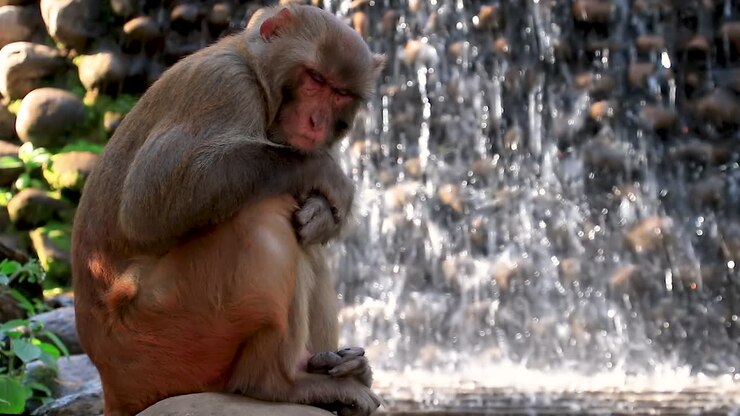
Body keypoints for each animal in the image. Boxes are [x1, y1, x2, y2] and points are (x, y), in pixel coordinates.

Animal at [71, 4, 385, 416]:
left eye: (340, 93)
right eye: (315, 78)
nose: (316, 123)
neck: (255, 71)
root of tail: (109, 383)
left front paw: (323, 213)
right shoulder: (225, 87)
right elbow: (147, 206)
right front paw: (328, 175)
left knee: (304, 241)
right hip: (166, 334)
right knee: (262, 211)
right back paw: (279, 383)